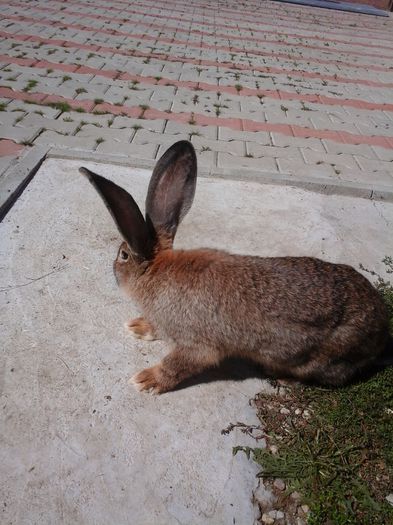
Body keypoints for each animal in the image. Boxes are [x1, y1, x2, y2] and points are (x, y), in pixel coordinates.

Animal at [79, 139, 388, 392]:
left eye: (123, 255)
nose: (113, 272)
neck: (155, 273)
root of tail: (381, 330)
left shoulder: (197, 345)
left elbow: (178, 365)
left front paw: (146, 380)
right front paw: (139, 326)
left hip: (321, 357)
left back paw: (283, 378)